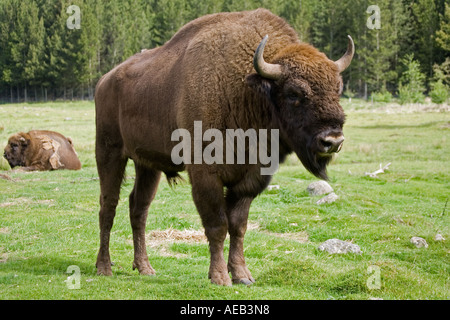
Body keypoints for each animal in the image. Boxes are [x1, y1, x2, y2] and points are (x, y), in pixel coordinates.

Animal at [96, 8, 356, 286]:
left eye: (338, 89)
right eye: (294, 93)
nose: (332, 140)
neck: (246, 90)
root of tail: (104, 81)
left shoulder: (250, 179)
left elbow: (238, 226)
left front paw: (242, 275)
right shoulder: (206, 175)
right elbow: (217, 226)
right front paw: (220, 277)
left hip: (147, 165)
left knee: (139, 208)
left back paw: (145, 267)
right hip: (109, 152)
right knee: (108, 207)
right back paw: (104, 268)